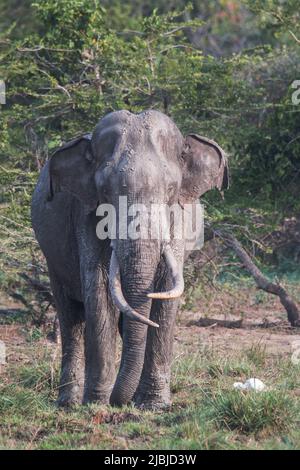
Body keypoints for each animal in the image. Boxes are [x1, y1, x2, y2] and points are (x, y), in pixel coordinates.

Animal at [31, 109, 227, 408]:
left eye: (171, 189)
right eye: (105, 191)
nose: (118, 402)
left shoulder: (178, 219)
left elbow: (165, 290)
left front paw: (154, 405)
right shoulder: (85, 213)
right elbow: (99, 288)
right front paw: (97, 403)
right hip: (52, 259)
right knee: (70, 316)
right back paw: (69, 402)